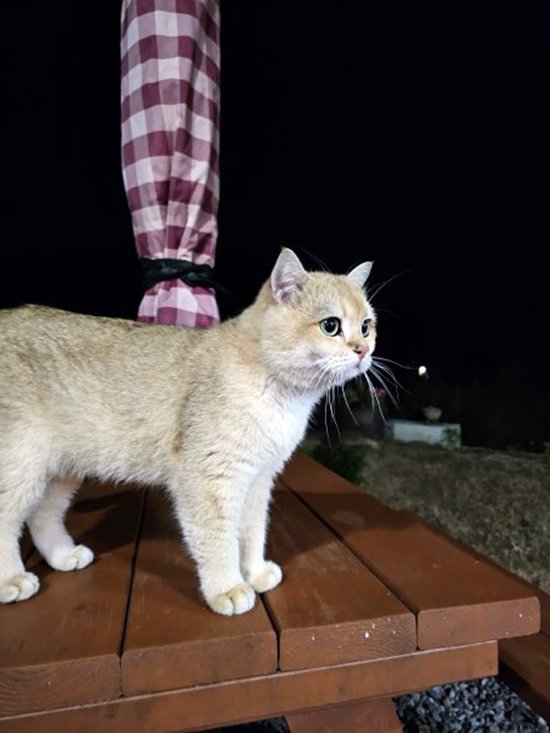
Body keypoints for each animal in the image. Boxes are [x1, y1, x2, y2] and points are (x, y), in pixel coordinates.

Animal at [0, 249, 376, 616]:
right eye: (331, 326)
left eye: (366, 326)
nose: (363, 350)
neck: (280, 394)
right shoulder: (209, 478)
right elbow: (219, 540)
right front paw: (227, 587)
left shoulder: (259, 478)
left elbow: (253, 531)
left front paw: (254, 572)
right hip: (21, 466)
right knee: (9, 520)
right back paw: (11, 581)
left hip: (58, 469)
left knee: (41, 515)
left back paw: (64, 556)